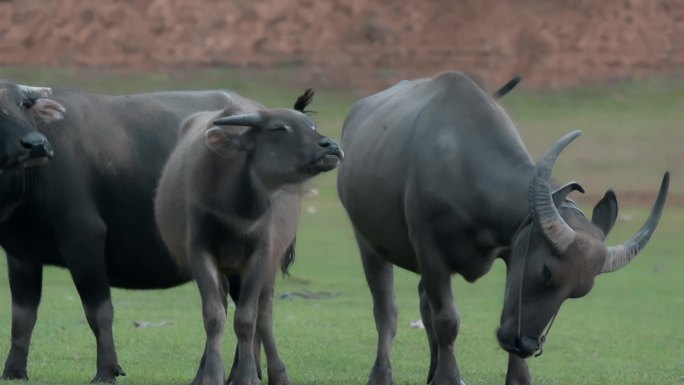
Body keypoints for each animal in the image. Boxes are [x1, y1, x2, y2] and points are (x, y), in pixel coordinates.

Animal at [0, 80, 243, 380]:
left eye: (23, 105)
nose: (36, 145)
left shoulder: (84, 239)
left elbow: (99, 311)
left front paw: (107, 371)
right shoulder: (21, 255)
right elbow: (22, 316)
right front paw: (13, 371)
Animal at [155, 89, 342, 384]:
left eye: (311, 127)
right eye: (278, 128)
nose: (331, 145)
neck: (235, 209)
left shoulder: (262, 254)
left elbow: (247, 319)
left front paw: (247, 376)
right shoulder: (199, 252)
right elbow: (213, 315)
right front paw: (212, 375)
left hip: (268, 265)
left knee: (264, 314)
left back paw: (275, 373)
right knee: (223, 305)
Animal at [336, 70, 668, 382]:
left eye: (579, 291)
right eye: (547, 272)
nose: (526, 344)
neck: (462, 164)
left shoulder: (511, 249)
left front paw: (517, 378)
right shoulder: (429, 252)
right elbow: (447, 319)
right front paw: (449, 378)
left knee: (422, 303)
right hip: (368, 243)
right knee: (387, 310)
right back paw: (381, 374)